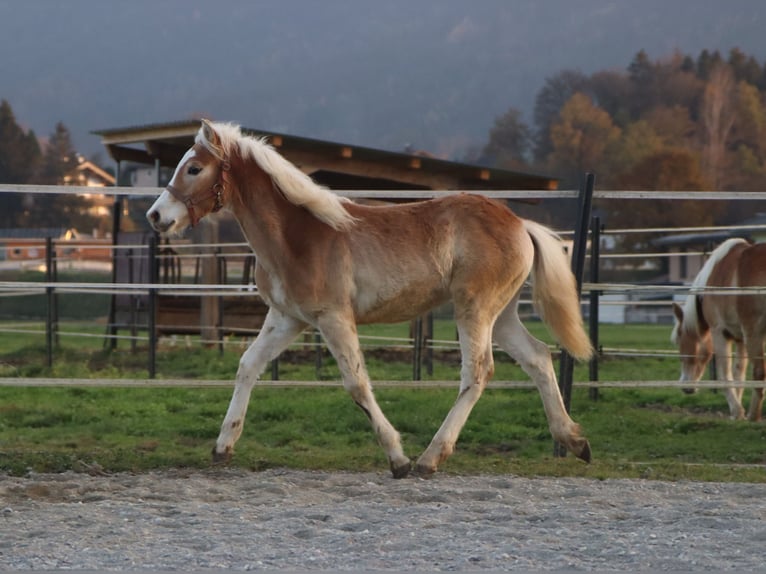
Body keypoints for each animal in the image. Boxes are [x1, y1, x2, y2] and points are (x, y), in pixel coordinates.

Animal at [147, 119, 596, 480]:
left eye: (194, 168)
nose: (156, 216)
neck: (297, 235)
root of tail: (521, 224)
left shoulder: (333, 318)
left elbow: (357, 383)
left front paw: (397, 459)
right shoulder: (287, 318)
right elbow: (247, 367)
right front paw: (222, 447)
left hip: (475, 309)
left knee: (478, 371)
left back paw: (430, 458)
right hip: (501, 315)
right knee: (538, 357)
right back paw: (575, 440)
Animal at [672, 238, 766, 424]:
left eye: (680, 339)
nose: (685, 387)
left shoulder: (720, 333)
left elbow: (725, 375)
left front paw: (737, 411)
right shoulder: (740, 339)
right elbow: (739, 374)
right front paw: (737, 412)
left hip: (755, 334)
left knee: (759, 373)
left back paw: (754, 415)